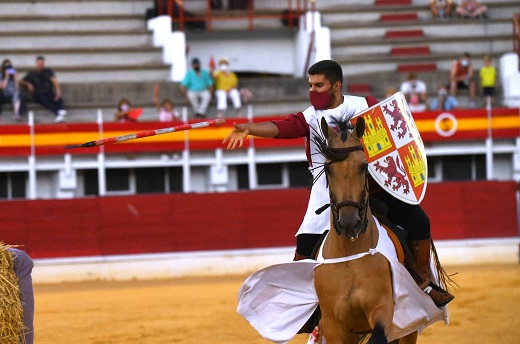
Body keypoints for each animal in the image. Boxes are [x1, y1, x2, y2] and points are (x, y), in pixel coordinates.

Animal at [310, 116, 416, 344]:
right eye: (328, 168)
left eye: (363, 166)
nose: (349, 222)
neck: (349, 256)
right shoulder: (333, 323)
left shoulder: (382, 309)